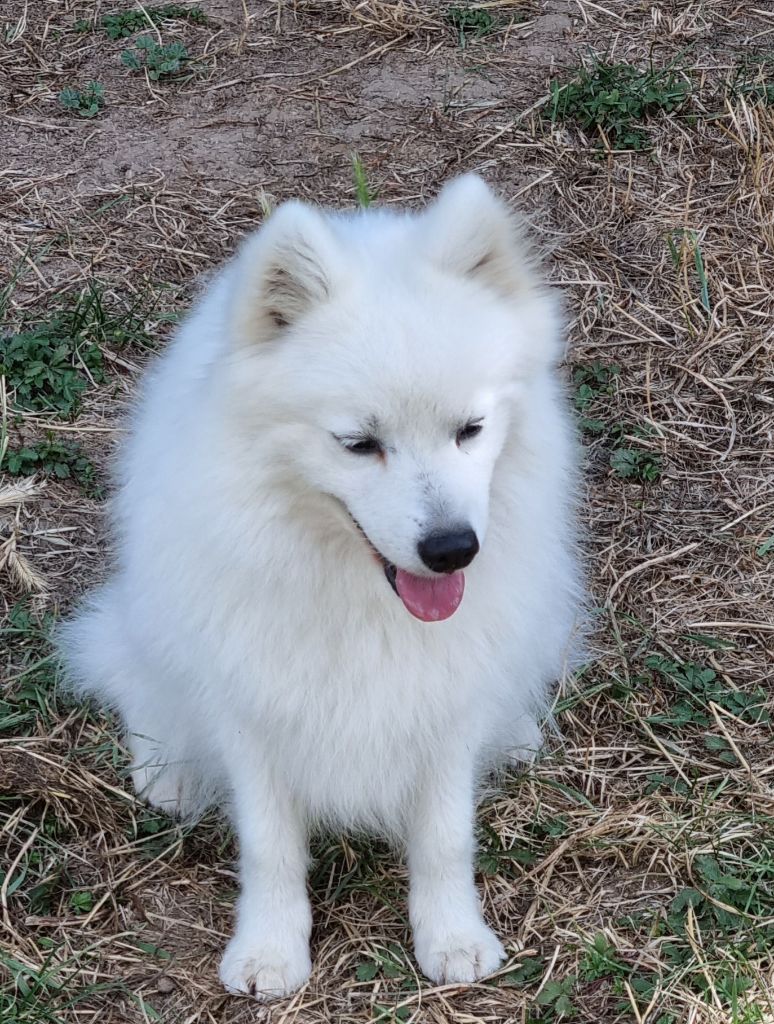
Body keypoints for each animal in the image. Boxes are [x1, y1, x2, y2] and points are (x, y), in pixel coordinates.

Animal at [58, 174, 583, 999]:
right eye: (358, 444)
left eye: (470, 429)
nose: (452, 549)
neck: (360, 597)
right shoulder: (252, 710)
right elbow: (270, 847)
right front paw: (270, 951)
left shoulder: (447, 704)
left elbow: (445, 836)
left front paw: (452, 936)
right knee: (133, 675)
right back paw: (167, 771)